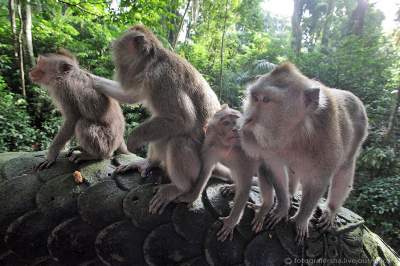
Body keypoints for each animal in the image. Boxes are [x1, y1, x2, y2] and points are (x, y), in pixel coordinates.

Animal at [179, 105, 276, 241]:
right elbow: (206, 170)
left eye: (237, 120)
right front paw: (192, 195)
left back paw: (265, 207)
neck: (225, 147)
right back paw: (234, 187)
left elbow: (245, 187)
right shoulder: (210, 147)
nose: (236, 129)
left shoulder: (244, 156)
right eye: (226, 123)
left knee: (264, 173)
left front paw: (230, 222)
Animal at [241, 63, 368, 244]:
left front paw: (301, 220)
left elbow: (317, 182)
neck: (294, 134)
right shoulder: (268, 148)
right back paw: (290, 194)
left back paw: (331, 209)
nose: (248, 119)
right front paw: (282, 207)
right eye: (254, 98)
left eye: (265, 100)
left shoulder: (324, 145)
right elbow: (275, 170)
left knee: (345, 168)